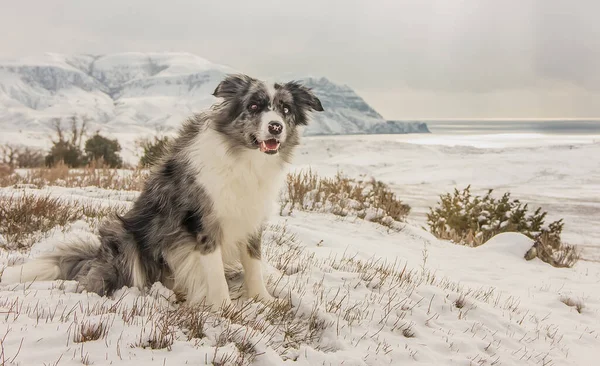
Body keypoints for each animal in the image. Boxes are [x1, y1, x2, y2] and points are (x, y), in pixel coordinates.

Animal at [1, 73, 324, 308]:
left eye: (285, 110)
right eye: (254, 106)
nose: (275, 127)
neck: (245, 160)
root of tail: (94, 257)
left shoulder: (251, 219)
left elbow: (254, 266)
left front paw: (263, 300)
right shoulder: (203, 225)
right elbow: (214, 275)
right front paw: (225, 309)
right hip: (123, 235)